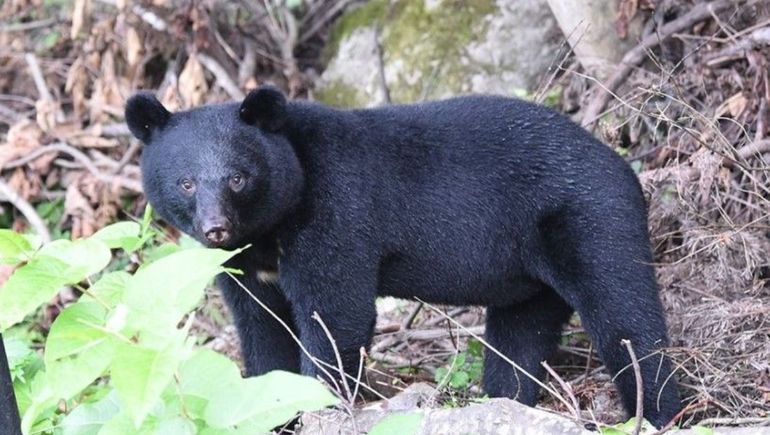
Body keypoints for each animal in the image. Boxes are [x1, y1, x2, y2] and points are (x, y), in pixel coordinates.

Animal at [125, 86, 681, 428]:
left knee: (626, 318)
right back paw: (503, 401)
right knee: (518, 342)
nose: (216, 227)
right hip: (530, 274)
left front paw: (319, 404)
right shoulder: (244, 267)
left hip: (589, 218)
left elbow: (335, 315)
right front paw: (271, 410)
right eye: (186, 182)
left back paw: (659, 412)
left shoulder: (336, 212)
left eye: (239, 178)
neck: (270, 230)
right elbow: (261, 330)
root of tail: (622, 165)